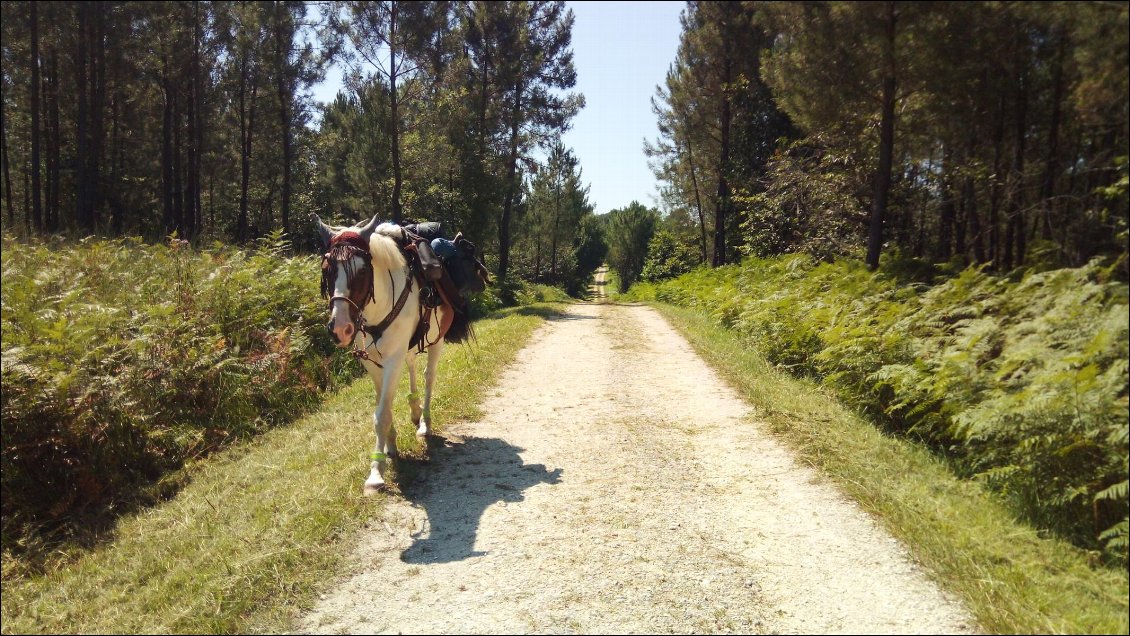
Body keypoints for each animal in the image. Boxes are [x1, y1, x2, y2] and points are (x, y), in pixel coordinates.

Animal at [314, 213, 458, 492]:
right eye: (327, 269)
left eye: (361, 271)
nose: (340, 329)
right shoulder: (372, 363)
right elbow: (384, 406)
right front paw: (390, 446)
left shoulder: (391, 360)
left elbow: (381, 415)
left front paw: (376, 472)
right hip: (408, 347)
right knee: (412, 364)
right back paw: (414, 410)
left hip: (436, 341)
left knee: (428, 377)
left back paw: (424, 423)